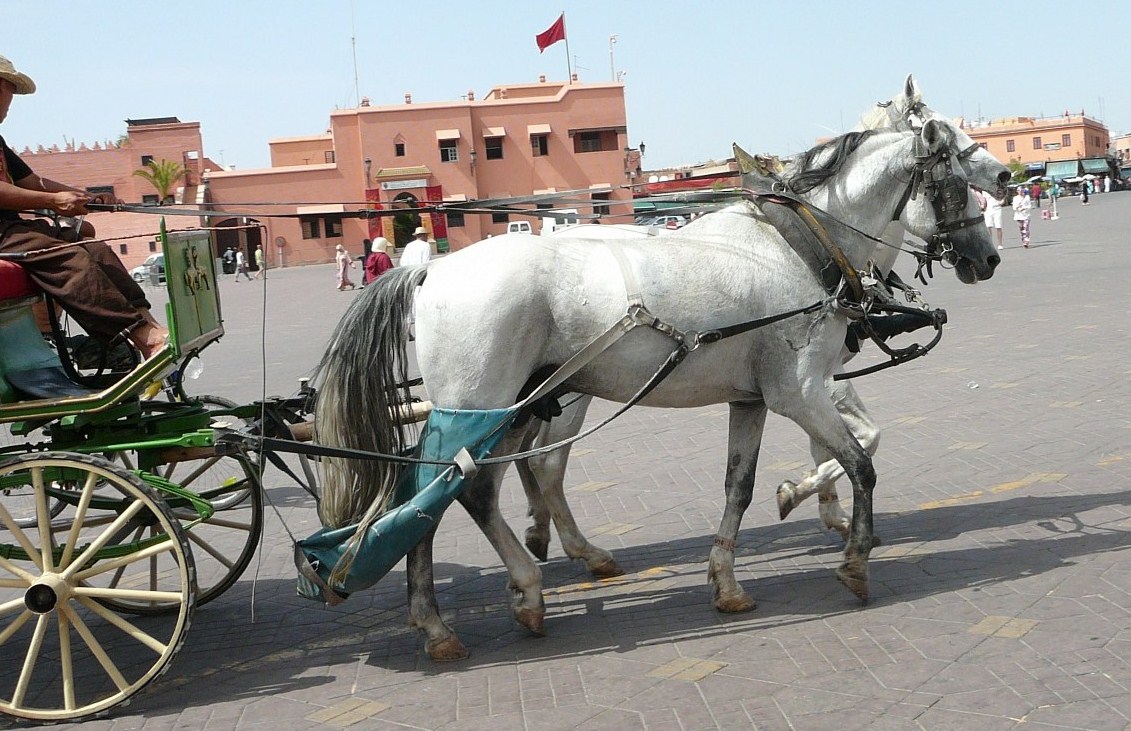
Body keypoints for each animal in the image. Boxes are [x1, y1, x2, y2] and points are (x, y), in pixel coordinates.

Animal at [312, 121, 999, 665]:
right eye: (958, 181)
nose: (986, 257)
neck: (797, 247)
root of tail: (430, 268)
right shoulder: (801, 390)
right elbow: (860, 463)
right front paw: (854, 562)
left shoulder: (753, 398)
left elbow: (740, 488)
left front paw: (727, 582)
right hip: (478, 407)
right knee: (443, 496)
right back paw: (467, 613)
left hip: (508, 409)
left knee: (468, 489)